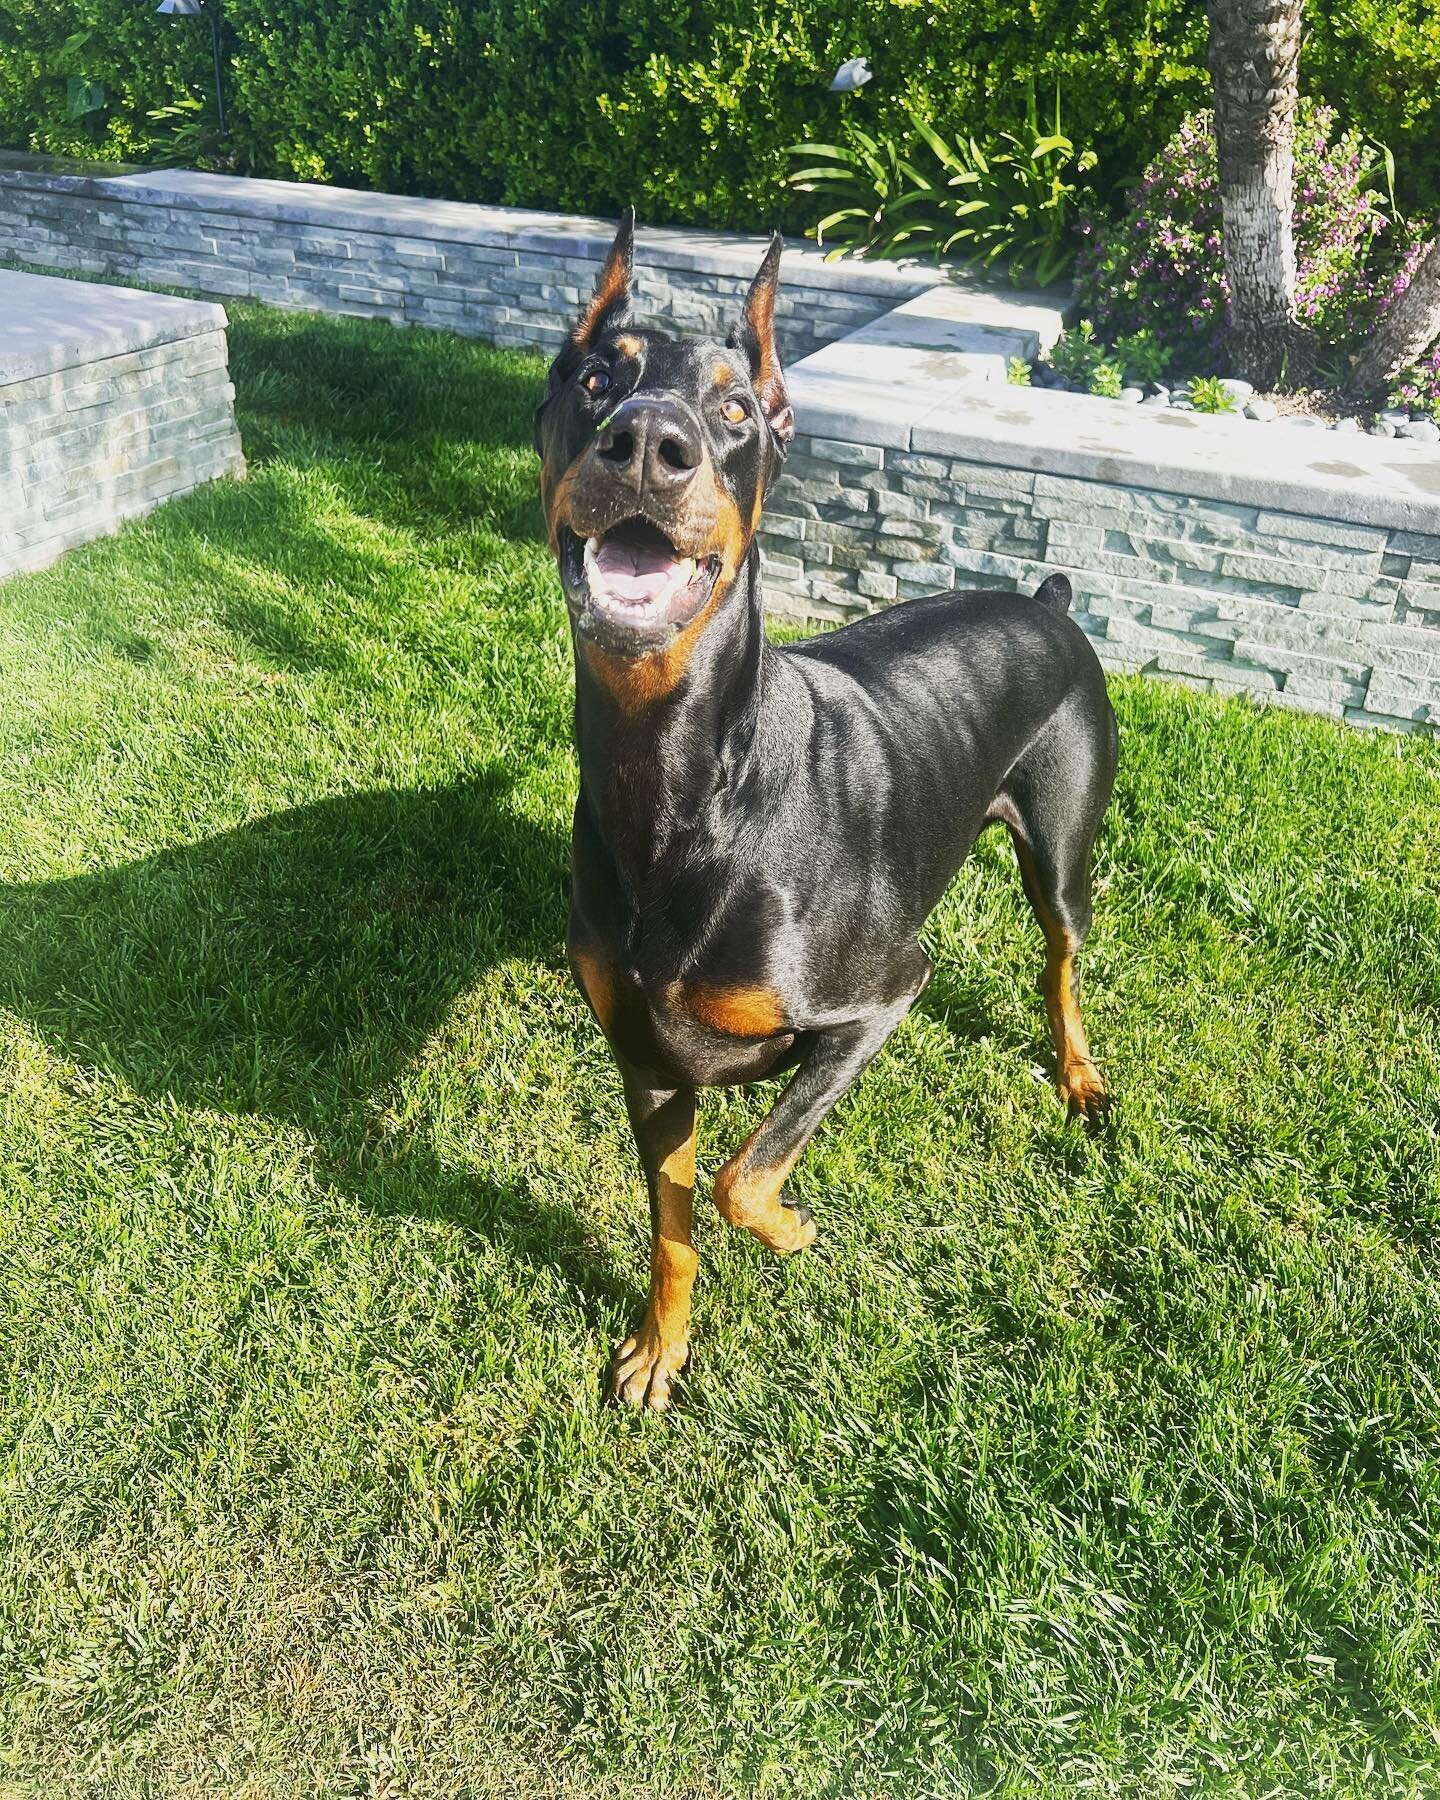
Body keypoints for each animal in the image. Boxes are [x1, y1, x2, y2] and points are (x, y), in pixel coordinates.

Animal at [532, 217, 1116, 1411]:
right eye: (596, 377)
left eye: (734, 410)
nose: (647, 441)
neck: (686, 781)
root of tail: (1046, 604)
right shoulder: (647, 1062)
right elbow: (674, 1223)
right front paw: (662, 1348)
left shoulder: (880, 998)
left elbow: (741, 1180)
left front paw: (791, 1229)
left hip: (1065, 846)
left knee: (1061, 958)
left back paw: (1078, 1072)